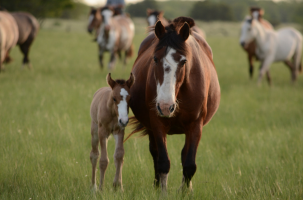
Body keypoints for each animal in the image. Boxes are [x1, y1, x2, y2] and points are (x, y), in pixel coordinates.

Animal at [126, 17, 221, 192]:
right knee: (155, 153)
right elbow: (163, 162)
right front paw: (162, 191)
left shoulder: (196, 126)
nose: (165, 106)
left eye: (183, 61)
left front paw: (185, 192)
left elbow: (189, 164)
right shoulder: (157, 124)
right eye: (155, 59)